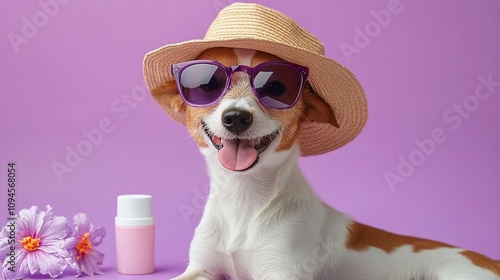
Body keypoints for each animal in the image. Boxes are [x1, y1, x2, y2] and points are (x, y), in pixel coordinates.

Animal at [149, 47, 500, 278]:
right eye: (207, 84)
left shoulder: (282, 273)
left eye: (275, 87)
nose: (236, 117)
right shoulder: (200, 268)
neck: (244, 201)